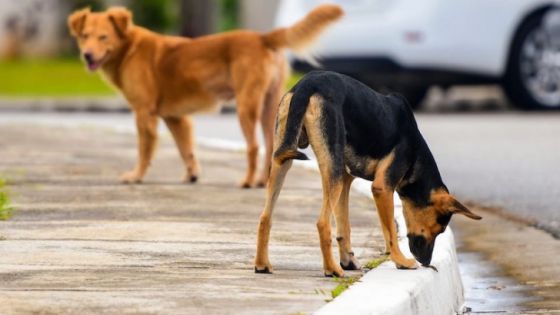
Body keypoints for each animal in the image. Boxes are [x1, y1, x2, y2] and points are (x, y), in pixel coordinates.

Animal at [68, 4, 344, 186]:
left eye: (103, 37)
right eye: (85, 36)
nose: (87, 55)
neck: (128, 48)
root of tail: (262, 37)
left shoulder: (144, 114)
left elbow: (145, 151)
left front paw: (136, 176)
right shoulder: (175, 117)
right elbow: (186, 148)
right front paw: (192, 175)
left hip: (246, 107)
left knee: (254, 146)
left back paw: (247, 181)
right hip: (270, 108)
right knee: (269, 145)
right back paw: (263, 180)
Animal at [256, 71, 480, 276]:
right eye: (439, 229)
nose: (426, 262)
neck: (416, 151)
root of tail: (307, 84)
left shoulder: (347, 180)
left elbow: (345, 227)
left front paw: (348, 261)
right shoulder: (382, 188)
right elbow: (390, 231)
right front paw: (400, 261)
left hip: (284, 160)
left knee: (265, 216)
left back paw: (262, 264)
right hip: (331, 170)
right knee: (322, 223)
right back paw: (332, 269)